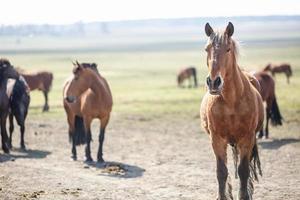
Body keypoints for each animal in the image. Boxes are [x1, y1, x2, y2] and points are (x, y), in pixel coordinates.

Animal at [200, 22, 264, 200]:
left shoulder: (247, 138)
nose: (213, 82)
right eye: (207, 49)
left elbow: (243, 171)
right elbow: (222, 172)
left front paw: (244, 195)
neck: (231, 101)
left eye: (228, 49)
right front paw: (223, 195)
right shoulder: (217, 139)